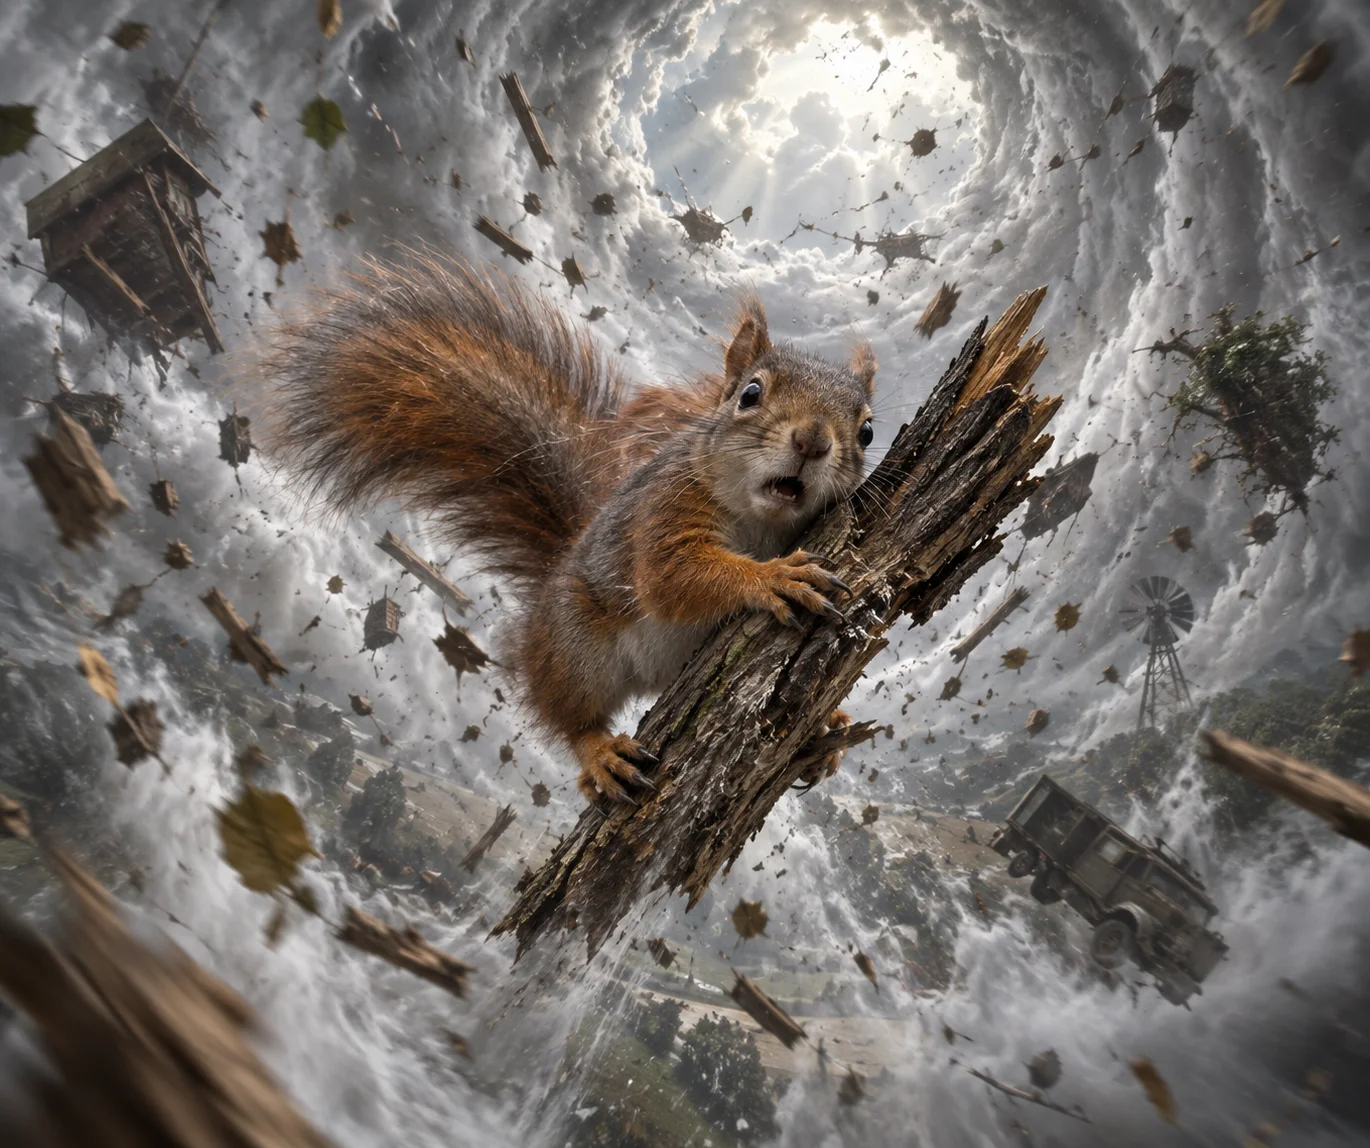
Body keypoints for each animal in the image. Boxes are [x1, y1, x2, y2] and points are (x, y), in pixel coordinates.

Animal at [261, 255, 876, 805]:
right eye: (750, 393)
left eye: (867, 430)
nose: (813, 440)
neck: (760, 521)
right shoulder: (663, 508)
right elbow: (673, 577)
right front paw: (774, 578)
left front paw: (830, 720)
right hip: (574, 645)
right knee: (568, 714)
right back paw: (600, 754)